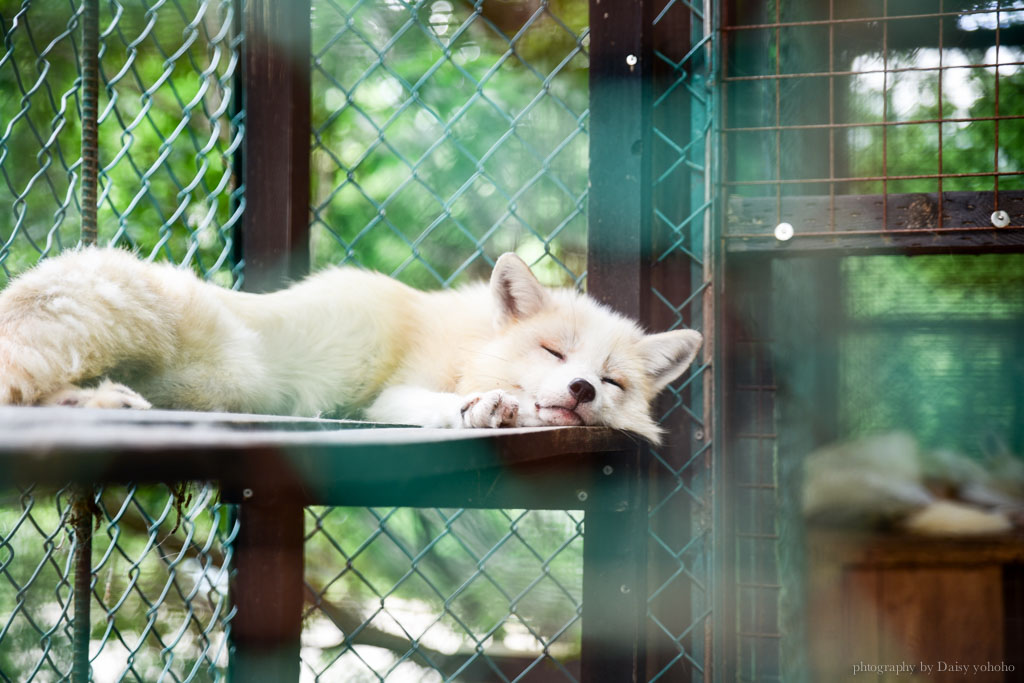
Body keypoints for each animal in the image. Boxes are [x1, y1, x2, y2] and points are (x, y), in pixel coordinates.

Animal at [0, 249, 700, 444]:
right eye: (554, 352)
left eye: (612, 381)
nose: (581, 389)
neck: (468, 342)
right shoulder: (387, 399)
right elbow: (442, 405)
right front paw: (482, 407)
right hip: (135, 321)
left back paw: (100, 405)